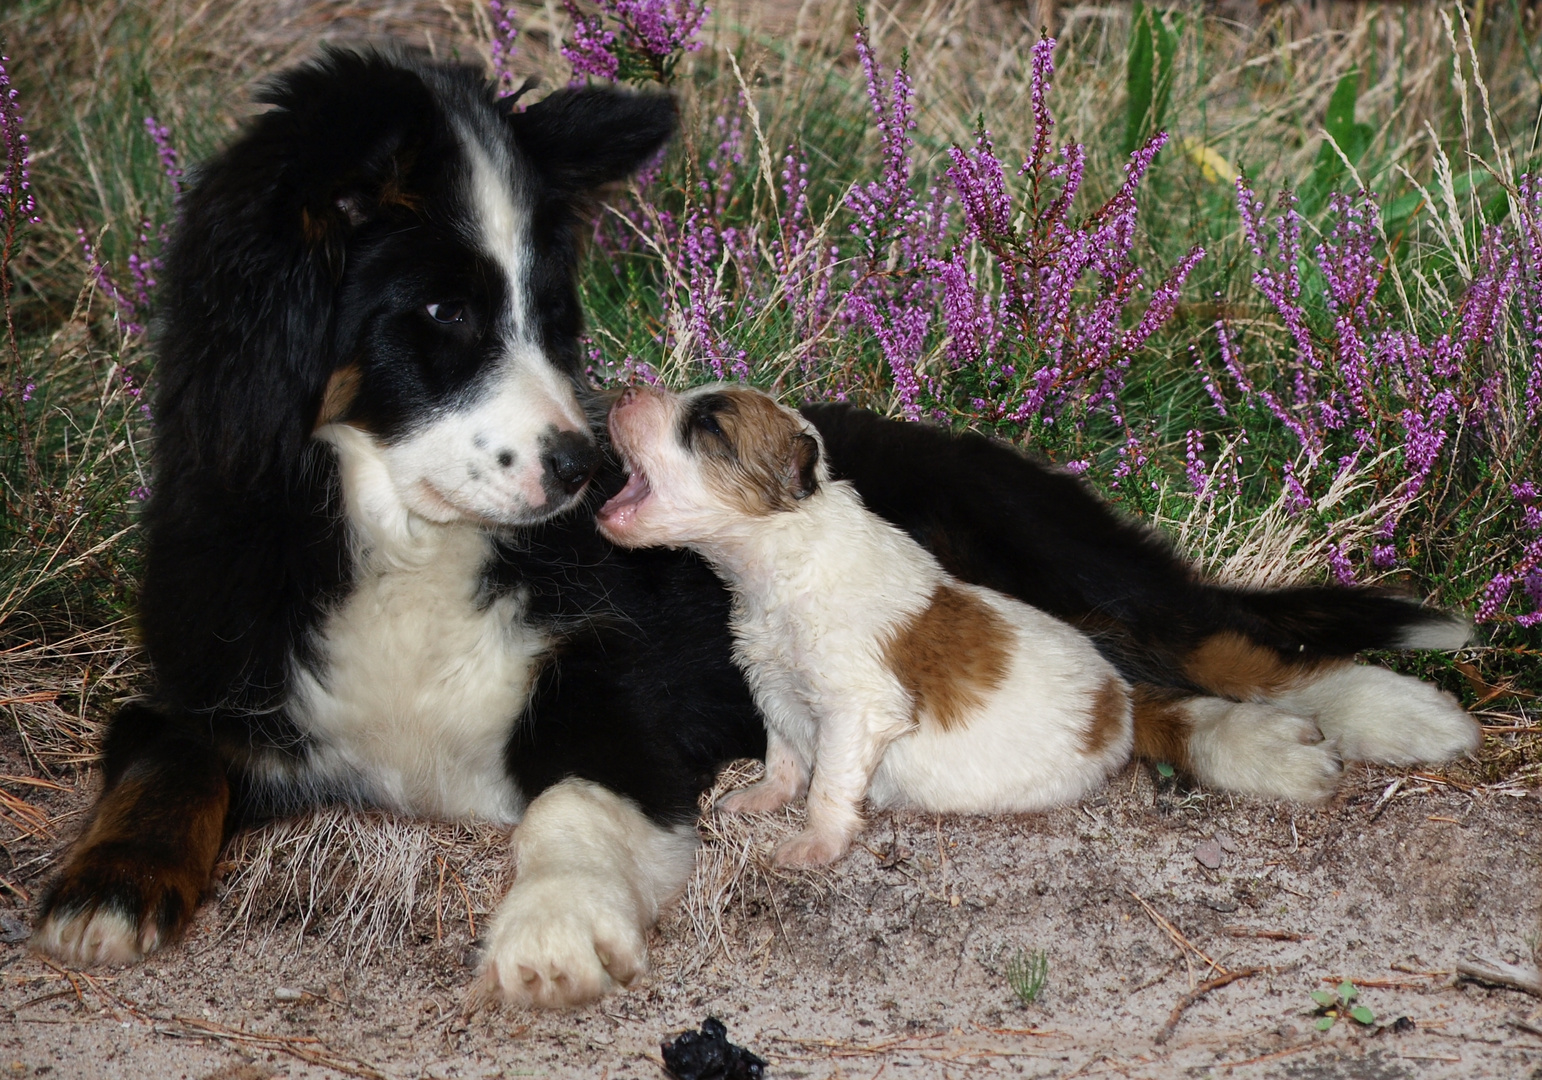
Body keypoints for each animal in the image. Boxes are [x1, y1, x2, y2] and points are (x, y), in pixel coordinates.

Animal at [598, 385, 1134, 870]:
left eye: (708, 426)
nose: (624, 392)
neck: (785, 548)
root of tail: (1120, 705)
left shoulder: (853, 712)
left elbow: (827, 786)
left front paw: (813, 845)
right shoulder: (775, 685)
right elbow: (782, 753)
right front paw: (762, 796)